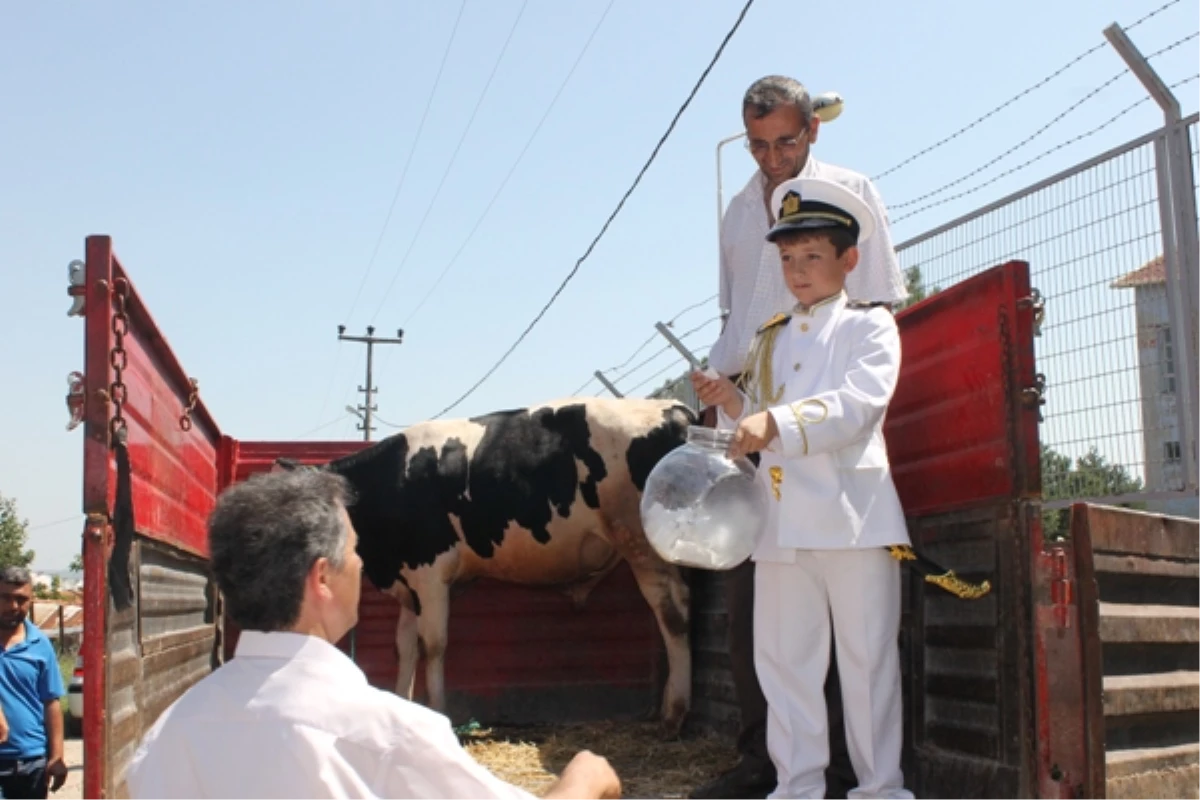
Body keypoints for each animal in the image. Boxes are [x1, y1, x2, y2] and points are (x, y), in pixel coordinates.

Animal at [277, 398, 700, 738]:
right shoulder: (409, 584)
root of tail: (674, 410)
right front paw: (403, 705)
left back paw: (673, 715)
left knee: (672, 612)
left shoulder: (431, 575)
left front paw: (439, 712)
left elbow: (433, 645)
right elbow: (405, 647)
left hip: (640, 543)